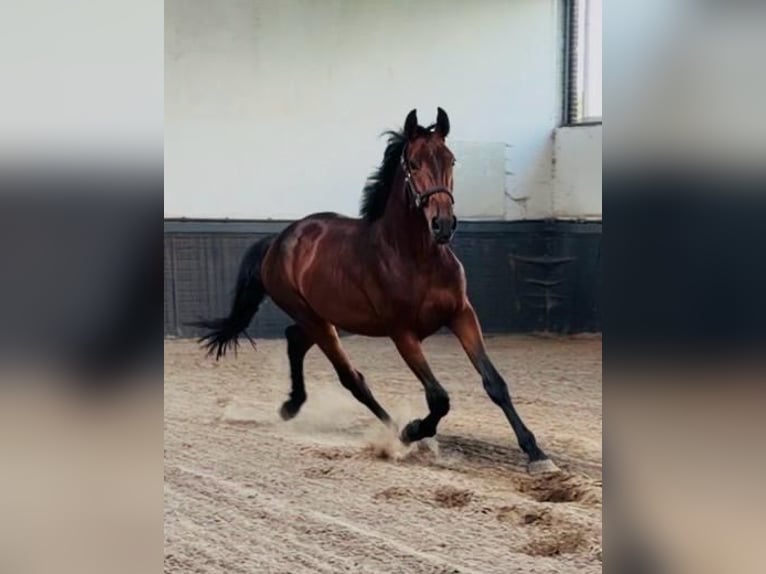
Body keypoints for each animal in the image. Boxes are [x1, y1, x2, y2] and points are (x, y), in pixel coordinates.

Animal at [194, 108, 557, 474]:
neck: (416, 257)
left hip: (329, 318)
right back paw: (398, 434)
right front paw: (414, 430)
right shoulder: (402, 332)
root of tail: (278, 240)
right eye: (413, 163)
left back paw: (293, 406)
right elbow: (438, 397)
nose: (443, 224)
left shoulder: (461, 314)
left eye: (451, 159)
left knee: (296, 340)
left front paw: (537, 454)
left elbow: (494, 383)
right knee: (351, 378)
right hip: (314, 318)